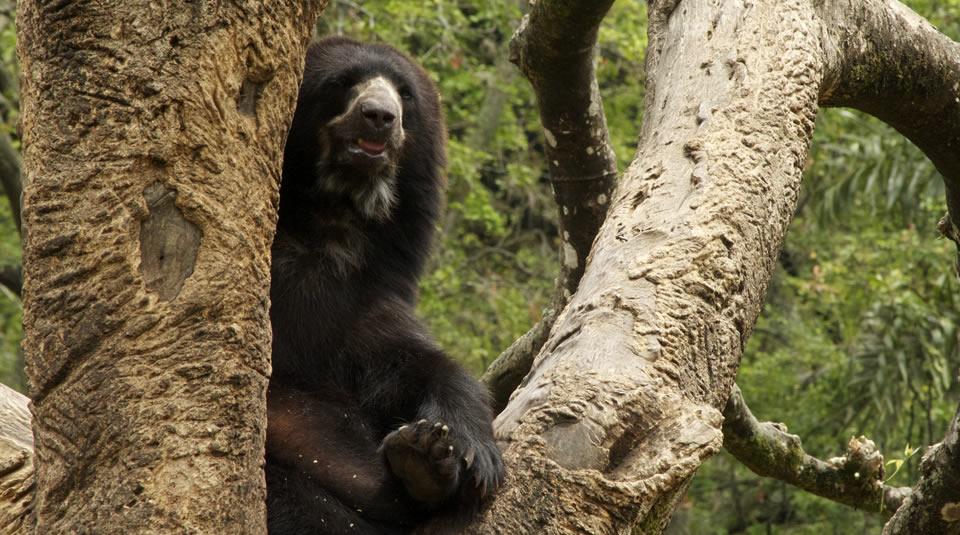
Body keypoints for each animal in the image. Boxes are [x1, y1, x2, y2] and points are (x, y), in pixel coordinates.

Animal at [262, 37, 502, 535]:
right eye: (342, 82)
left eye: (404, 93)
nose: (379, 115)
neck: (330, 226)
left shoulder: (364, 298)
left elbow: (417, 364)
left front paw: (461, 451)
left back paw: (421, 463)